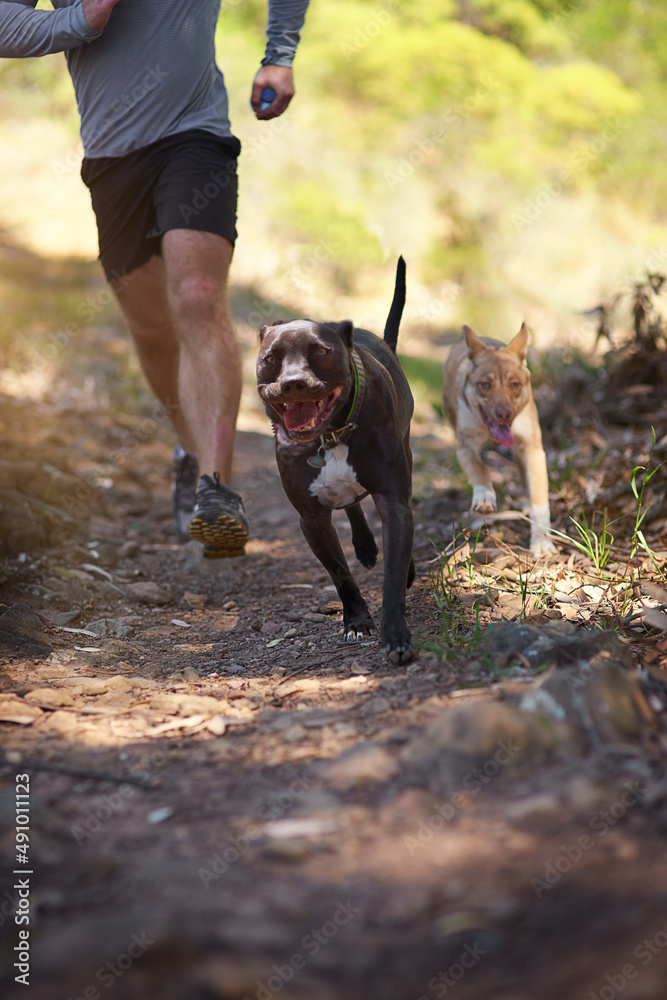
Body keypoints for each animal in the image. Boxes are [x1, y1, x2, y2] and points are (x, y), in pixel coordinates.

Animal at [258, 258, 414, 664]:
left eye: (321, 352)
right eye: (270, 359)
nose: (293, 382)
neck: (331, 436)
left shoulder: (393, 501)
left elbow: (393, 574)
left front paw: (396, 635)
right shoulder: (311, 519)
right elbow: (340, 574)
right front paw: (356, 620)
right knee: (350, 503)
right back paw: (364, 544)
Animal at [444, 324, 560, 556]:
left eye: (514, 384)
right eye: (485, 384)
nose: (504, 414)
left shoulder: (531, 447)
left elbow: (538, 494)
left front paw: (542, 541)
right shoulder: (465, 444)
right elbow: (479, 468)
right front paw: (484, 496)